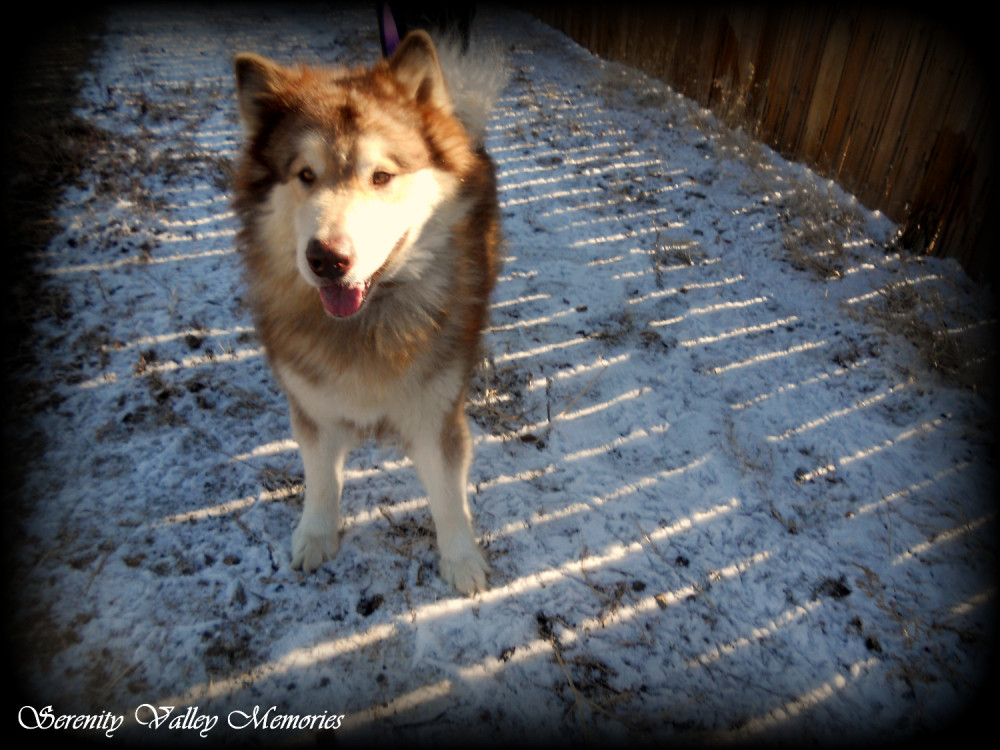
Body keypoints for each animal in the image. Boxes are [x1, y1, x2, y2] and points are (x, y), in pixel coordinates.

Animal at [232, 30, 504, 595]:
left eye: (381, 176)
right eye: (305, 175)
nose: (326, 259)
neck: (365, 320)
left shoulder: (436, 413)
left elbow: (448, 497)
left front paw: (461, 560)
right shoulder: (312, 407)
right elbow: (320, 480)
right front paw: (315, 536)